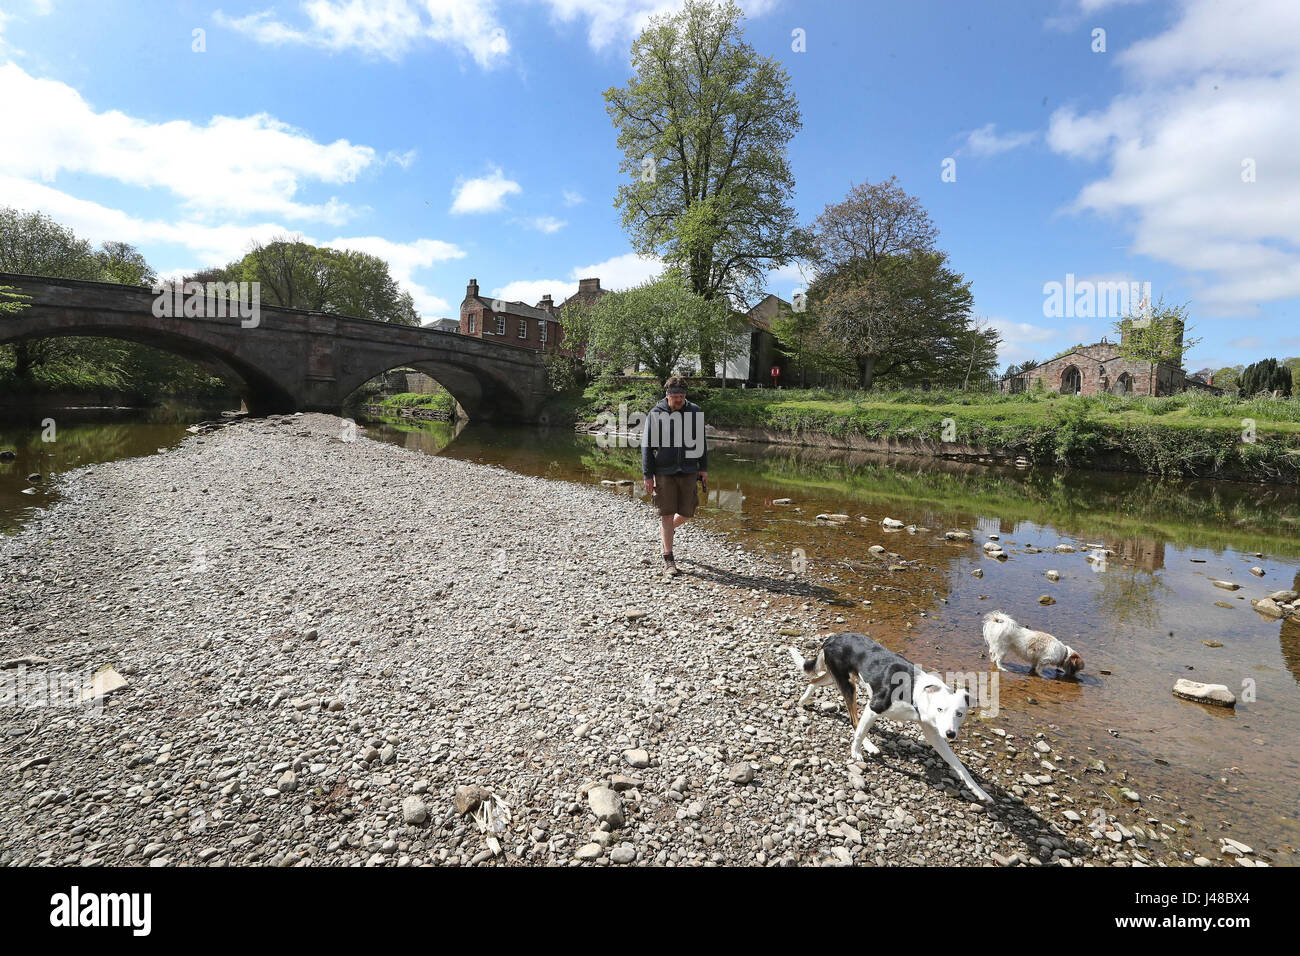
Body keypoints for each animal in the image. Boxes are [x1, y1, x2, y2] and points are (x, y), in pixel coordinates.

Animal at [785, 634, 987, 806]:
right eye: (940, 709)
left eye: (959, 714)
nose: (951, 734)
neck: (915, 692)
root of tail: (833, 637)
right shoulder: (873, 707)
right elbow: (860, 731)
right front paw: (855, 751)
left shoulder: (934, 733)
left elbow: (958, 765)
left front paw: (979, 791)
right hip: (848, 684)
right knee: (854, 721)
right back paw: (868, 745)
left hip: (835, 677)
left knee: (814, 682)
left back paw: (803, 700)